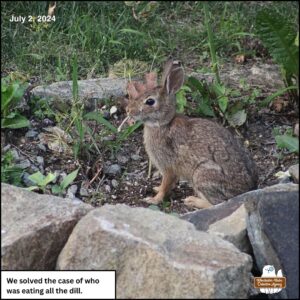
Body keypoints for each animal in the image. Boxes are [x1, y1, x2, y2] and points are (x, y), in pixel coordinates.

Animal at [125, 58, 256, 209]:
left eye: (150, 101)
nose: (128, 110)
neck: (163, 124)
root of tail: (247, 190)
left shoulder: (168, 167)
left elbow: (166, 185)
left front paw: (154, 199)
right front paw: (156, 189)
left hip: (202, 176)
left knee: (217, 203)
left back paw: (192, 200)